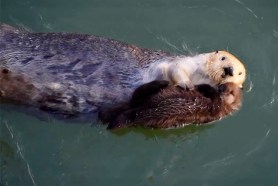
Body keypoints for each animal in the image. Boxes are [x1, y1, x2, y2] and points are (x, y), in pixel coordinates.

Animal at [0, 23, 245, 115]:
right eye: (223, 57)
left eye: (240, 73)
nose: (229, 70)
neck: (200, 76)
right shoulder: (177, 63)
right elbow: (174, 70)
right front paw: (185, 84)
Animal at [99, 80, 241, 129]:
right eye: (221, 85)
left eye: (229, 91)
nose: (220, 88)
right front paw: (202, 86)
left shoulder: (217, 112)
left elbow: (215, 103)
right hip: (142, 99)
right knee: (139, 93)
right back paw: (161, 82)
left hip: (146, 116)